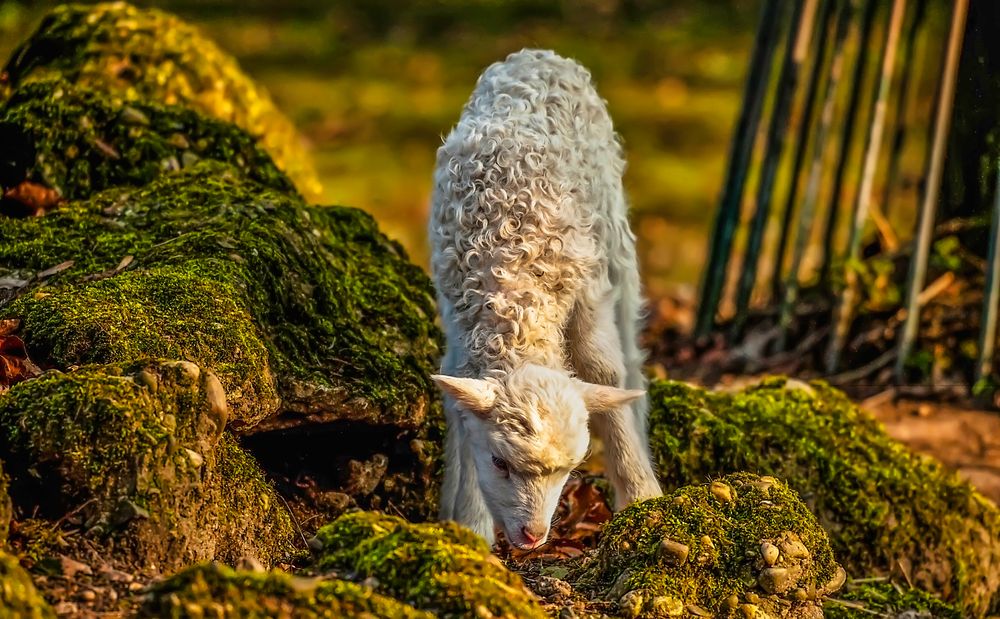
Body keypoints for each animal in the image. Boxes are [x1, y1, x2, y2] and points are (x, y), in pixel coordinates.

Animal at [426, 49, 660, 552]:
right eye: (499, 462)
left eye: (570, 470)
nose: (533, 537)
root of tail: (536, 54)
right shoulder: (456, 309)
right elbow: (456, 396)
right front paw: (466, 523)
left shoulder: (588, 286)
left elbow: (601, 369)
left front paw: (641, 496)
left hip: (614, 230)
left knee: (631, 354)